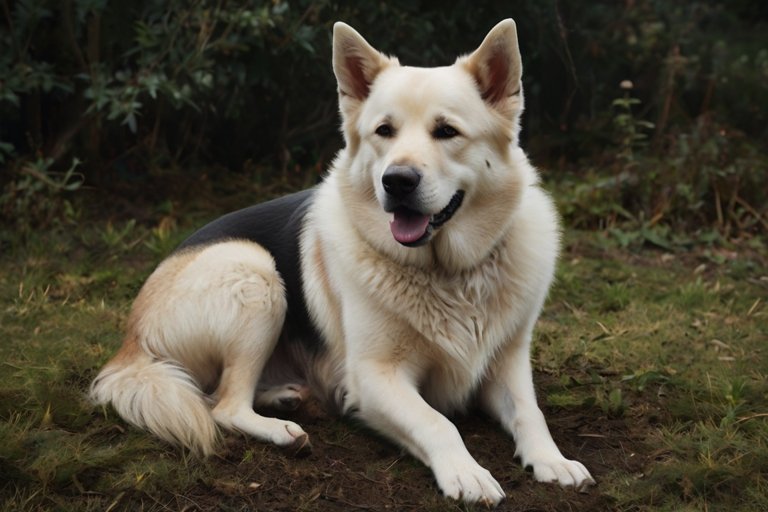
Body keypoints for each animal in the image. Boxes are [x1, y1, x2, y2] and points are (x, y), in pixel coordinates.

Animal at [90, 19, 592, 504]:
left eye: (447, 131)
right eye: (384, 131)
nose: (397, 181)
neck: (448, 273)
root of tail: (129, 345)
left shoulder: (507, 365)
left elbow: (530, 412)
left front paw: (553, 460)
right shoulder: (373, 378)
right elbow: (438, 422)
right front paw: (466, 472)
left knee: (221, 393)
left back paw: (283, 396)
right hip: (255, 271)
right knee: (223, 405)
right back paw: (281, 429)